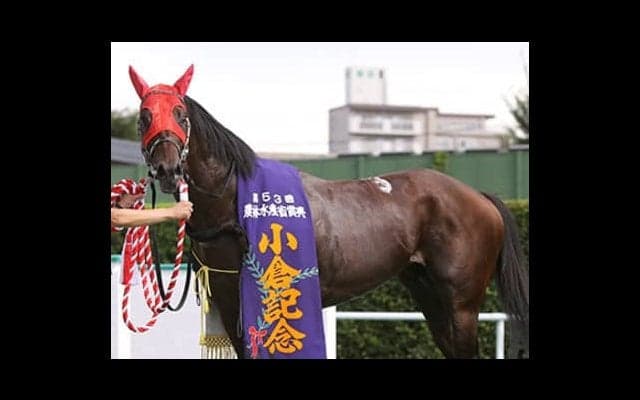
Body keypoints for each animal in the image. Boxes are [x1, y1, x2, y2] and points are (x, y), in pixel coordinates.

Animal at [127, 65, 529, 358]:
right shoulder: (229, 302)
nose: (166, 169)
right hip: (430, 296)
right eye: (144, 116)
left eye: (179, 113)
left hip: (461, 304)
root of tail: (478, 196)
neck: (234, 200)